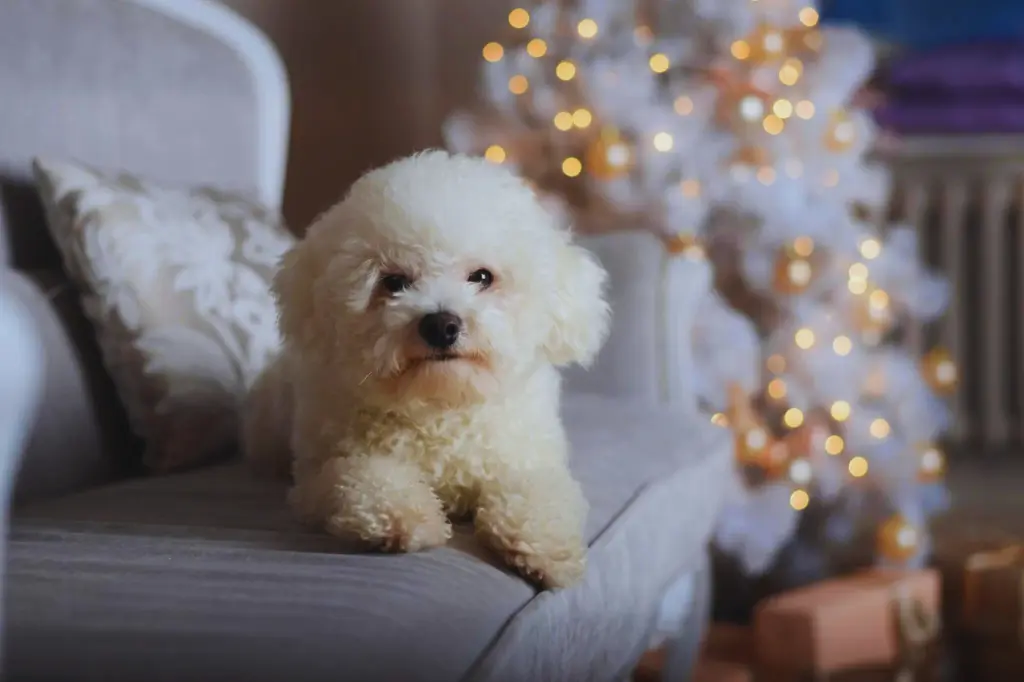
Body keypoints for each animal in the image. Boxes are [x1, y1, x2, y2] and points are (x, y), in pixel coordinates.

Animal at [241, 151, 606, 585]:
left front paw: (545, 547)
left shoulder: (527, 458)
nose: (441, 325)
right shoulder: (317, 479)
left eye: (482, 277)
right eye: (393, 282)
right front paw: (402, 516)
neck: (440, 405)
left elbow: (538, 491)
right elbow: (360, 476)